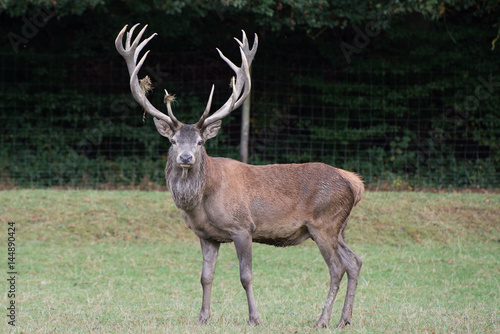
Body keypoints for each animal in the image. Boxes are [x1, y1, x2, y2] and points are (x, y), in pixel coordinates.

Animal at [115, 23, 366, 328]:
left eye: (200, 142)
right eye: (173, 141)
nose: (185, 158)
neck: (203, 201)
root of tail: (354, 182)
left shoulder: (243, 227)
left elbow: (245, 276)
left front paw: (254, 318)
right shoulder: (207, 236)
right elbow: (205, 277)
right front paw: (203, 317)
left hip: (324, 223)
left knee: (337, 268)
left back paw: (322, 321)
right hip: (339, 226)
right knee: (354, 261)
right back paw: (344, 320)